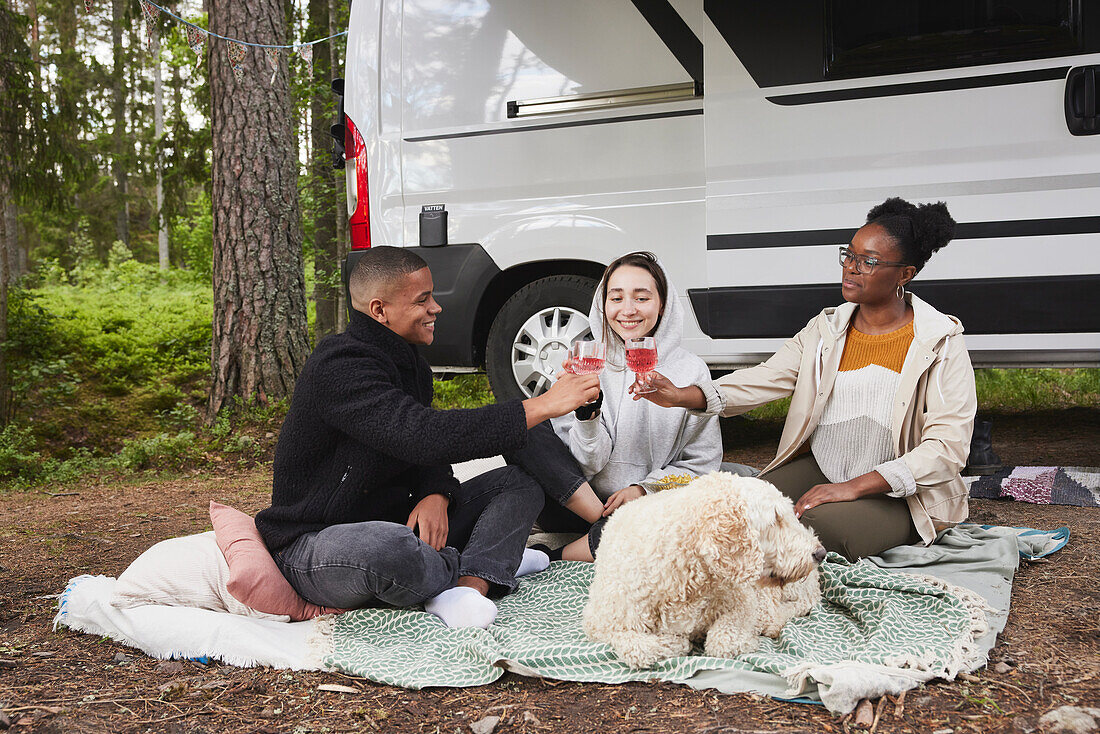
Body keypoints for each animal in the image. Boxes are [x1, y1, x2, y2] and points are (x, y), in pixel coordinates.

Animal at [585, 473, 827, 669]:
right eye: (775, 520)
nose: (820, 553)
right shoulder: (600, 622)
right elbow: (635, 647)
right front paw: (674, 642)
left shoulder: (745, 602)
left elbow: (721, 641)